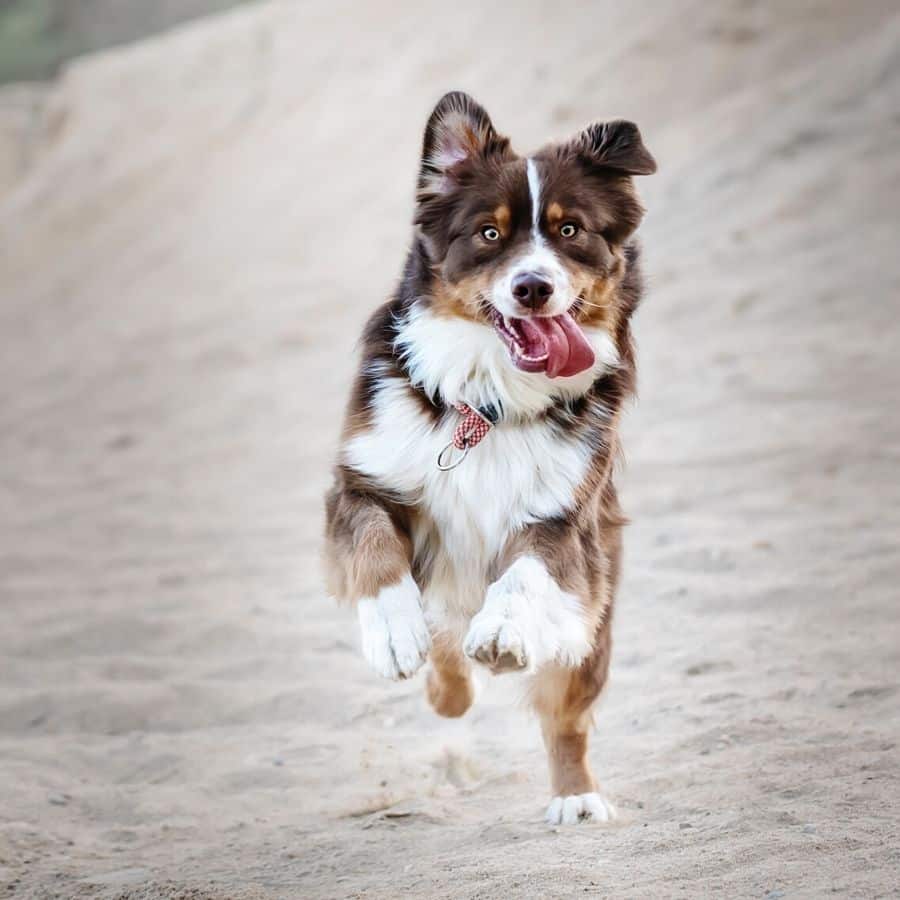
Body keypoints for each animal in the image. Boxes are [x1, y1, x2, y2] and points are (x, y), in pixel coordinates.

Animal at [324, 89, 652, 824]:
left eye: (569, 231)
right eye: (490, 235)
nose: (533, 287)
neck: (488, 400)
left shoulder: (564, 519)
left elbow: (524, 575)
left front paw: (502, 631)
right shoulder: (363, 481)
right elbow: (374, 548)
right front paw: (393, 632)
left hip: (594, 617)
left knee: (565, 717)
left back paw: (575, 795)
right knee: (446, 649)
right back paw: (443, 680)